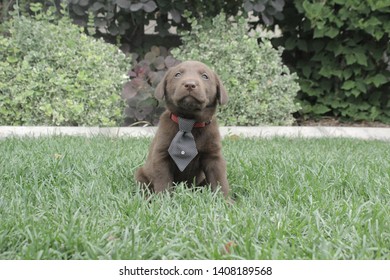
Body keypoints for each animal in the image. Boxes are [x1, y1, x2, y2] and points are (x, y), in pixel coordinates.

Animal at [136, 60, 230, 197]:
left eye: (205, 76)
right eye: (178, 74)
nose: (190, 84)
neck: (189, 122)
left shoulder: (213, 156)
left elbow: (219, 181)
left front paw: (225, 200)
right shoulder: (161, 156)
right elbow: (163, 182)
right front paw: (163, 200)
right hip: (141, 175)